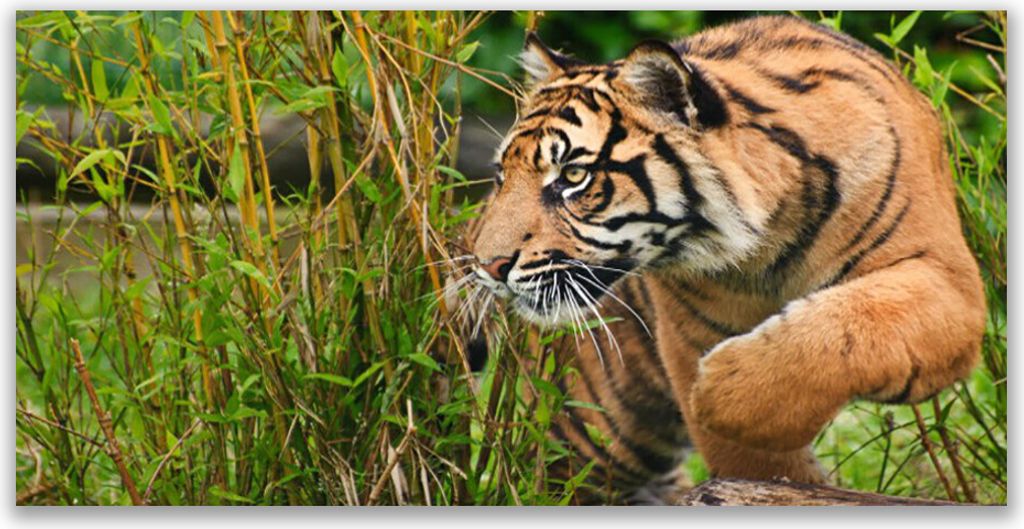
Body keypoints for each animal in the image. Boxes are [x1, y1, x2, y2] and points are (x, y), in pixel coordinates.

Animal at [463, 14, 986, 504]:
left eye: (573, 176)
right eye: (501, 175)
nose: (487, 266)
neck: (769, 239)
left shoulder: (946, 280)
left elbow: (850, 326)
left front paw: (718, 393)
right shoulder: (691, 336)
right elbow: (756, 463)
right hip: (591, 429)